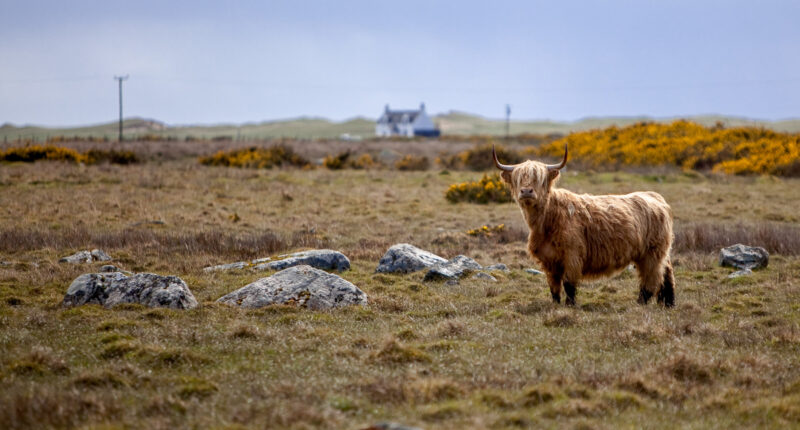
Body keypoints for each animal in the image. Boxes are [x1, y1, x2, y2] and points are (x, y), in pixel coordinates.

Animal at [494, 145, 676, 306]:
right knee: (667, 273)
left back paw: (641, 302)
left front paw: (570, 305)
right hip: (658, 253)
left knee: (652, 278)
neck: (546, 220)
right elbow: (553, 287)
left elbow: (568, 284)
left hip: (652, 253)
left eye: (540, 179)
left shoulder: (572, 255)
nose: (526, 191)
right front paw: (556, 304)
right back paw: (668, 303)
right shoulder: (549, 259)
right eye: (518, 178)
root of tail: (655, 196)